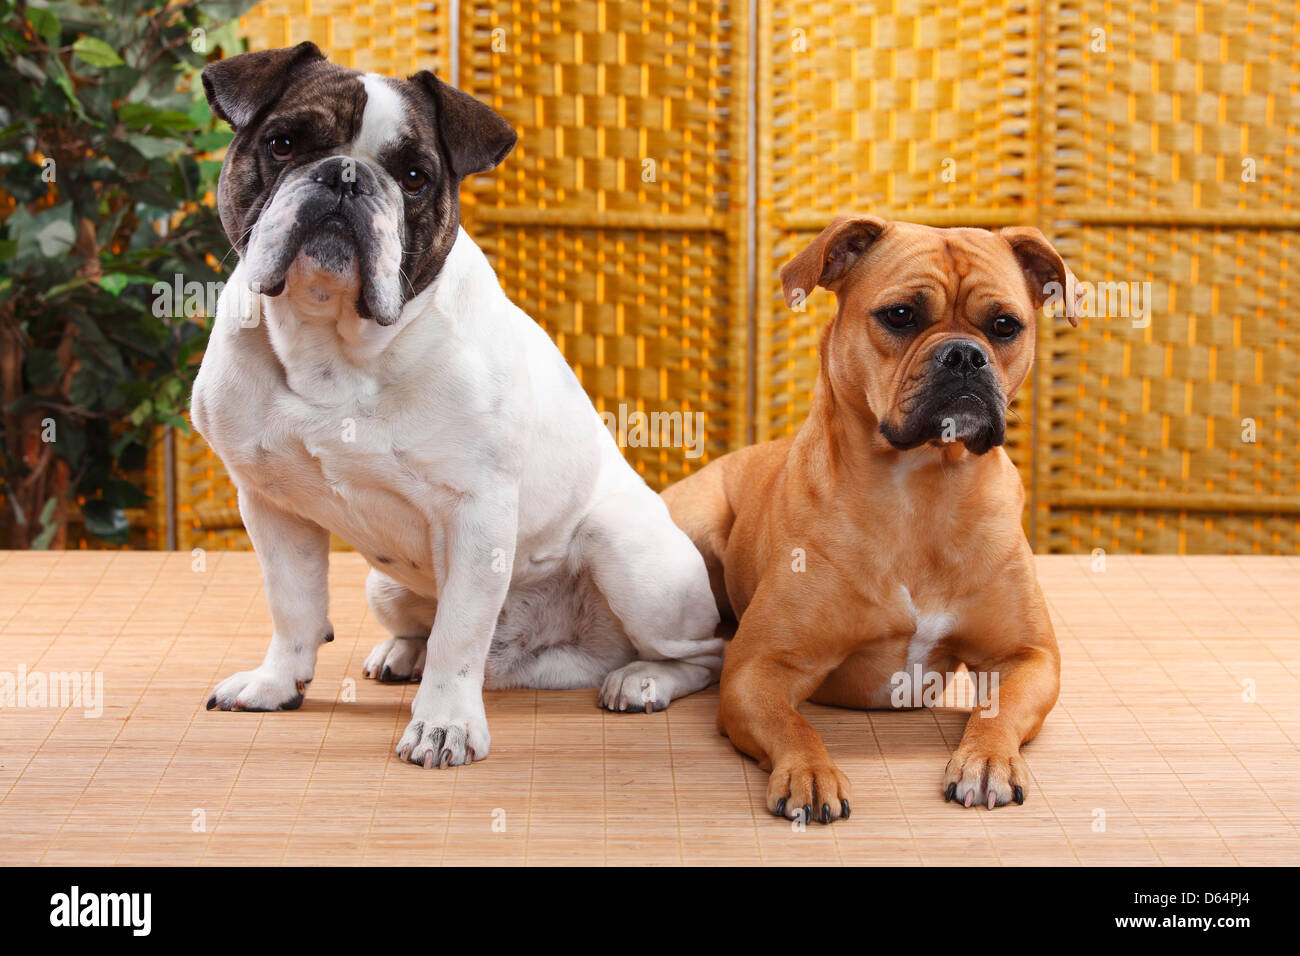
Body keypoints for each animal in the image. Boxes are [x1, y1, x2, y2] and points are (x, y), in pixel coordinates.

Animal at [665, 214, 1081, 822]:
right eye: (900, 315)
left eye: (1005, 326)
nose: (965, 355)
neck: (923, 487)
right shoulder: (757, 669)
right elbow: (793, 724)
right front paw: (809, 772)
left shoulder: (1027, 657)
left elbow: (998, 709)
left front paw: (986, 759)